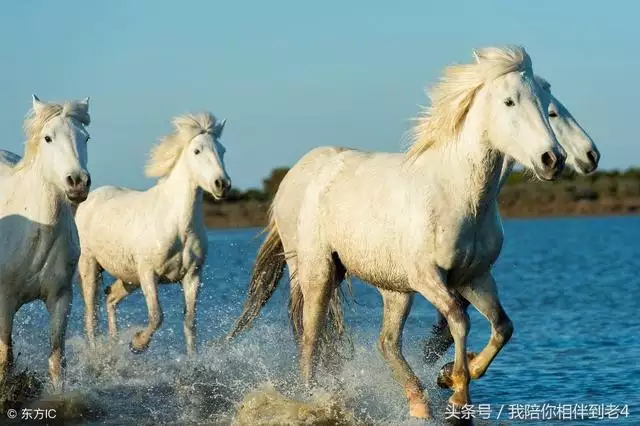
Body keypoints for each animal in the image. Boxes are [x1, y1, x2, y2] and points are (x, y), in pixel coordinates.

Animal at [0, 95, 91, 390]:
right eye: (48, 138)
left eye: (86, 137)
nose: (77, 182)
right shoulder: (4, 300)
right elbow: (5, 359)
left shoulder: (60, 297)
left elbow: (56, 360)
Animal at [75, 113, 230, 356]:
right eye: (197, 151)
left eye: (222, 150)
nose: (222, 184)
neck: (179, 226)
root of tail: (88, 199)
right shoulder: (149, 273)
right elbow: (157, 316)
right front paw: (137, 344)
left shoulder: (192, 276)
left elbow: (190, 323)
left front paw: (193, 360)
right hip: (90, 264)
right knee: (91, 315)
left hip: (129, 277)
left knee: (110, 297)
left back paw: (113, 345)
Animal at [229, 45, 564, 418]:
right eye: (509, 102)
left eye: (544, 104)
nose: (553, 160)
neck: (459, 194)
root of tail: (296, 175)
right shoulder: (427, 277)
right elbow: (459, 320)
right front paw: (458, 395)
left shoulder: (475, 276)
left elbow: (502, 327)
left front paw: (449, 376)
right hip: (318, 271)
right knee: (311, 339)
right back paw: (312, 396)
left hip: (394, 289)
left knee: (386, 342)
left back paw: (418, 403)